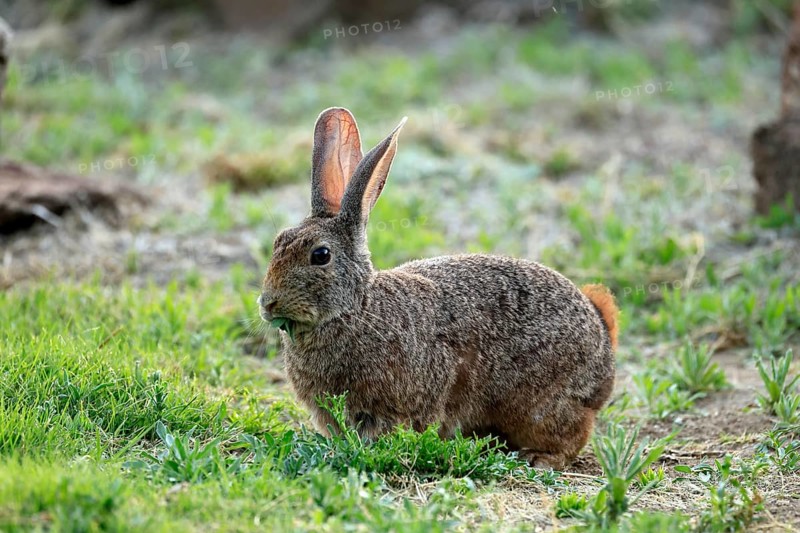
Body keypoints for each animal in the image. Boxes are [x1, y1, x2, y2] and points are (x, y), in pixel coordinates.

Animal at [259, 107, 618, 469]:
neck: (357, 308)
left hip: (540, 404)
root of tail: (605, 349)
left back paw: (540, 458)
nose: (267, 304)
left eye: (321, 255)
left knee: (571, 435)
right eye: (278, 241)